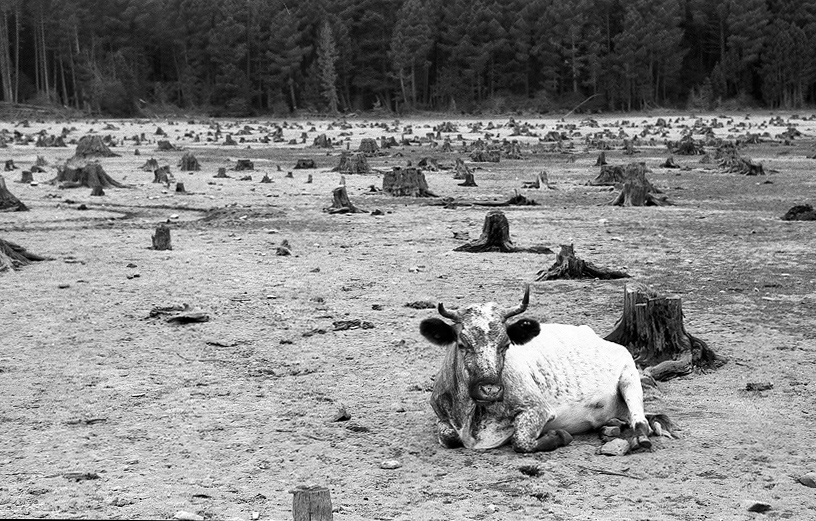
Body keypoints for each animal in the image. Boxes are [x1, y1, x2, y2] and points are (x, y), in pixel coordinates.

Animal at [418, 284, 672, 450]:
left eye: (506, 345)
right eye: (462, 344)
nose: (490, 390)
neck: (474, 416)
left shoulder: (538, 409)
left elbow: (521, 440)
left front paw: (559, 436)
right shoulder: (442, 416)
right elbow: (448, 437)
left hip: (630, 376)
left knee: (640, 420)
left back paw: (640, 436)